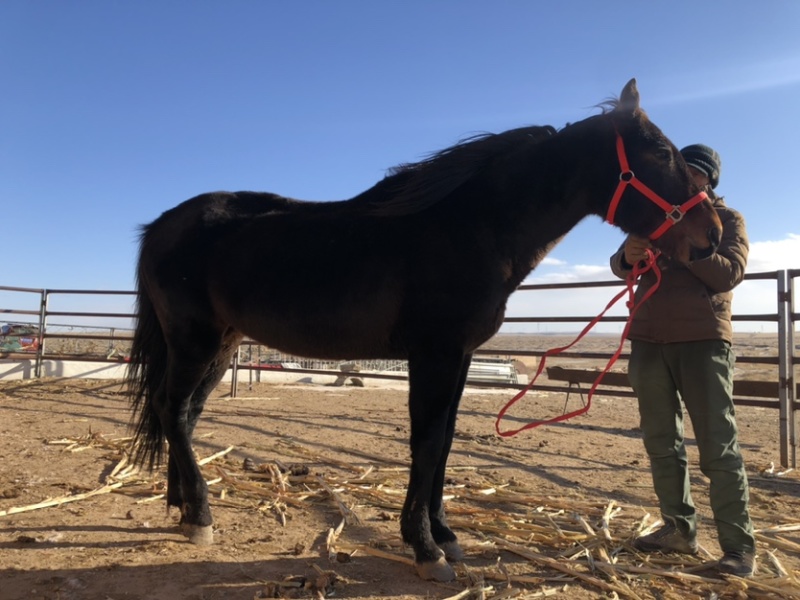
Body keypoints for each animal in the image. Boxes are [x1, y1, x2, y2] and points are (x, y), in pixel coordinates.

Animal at [126, 79, 722, 582]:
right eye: (660, 152)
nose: (712, 234)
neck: (470, 228)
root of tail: (161, 226)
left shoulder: (459, 356)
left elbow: (445, 440)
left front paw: (444, 534)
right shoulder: (434, 354)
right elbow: (427, 441)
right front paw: (424, 547)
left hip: (222, 345)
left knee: (183, 413)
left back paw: (183, 506)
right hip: (195, 341)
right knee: (172, 409)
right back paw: (201, 515)